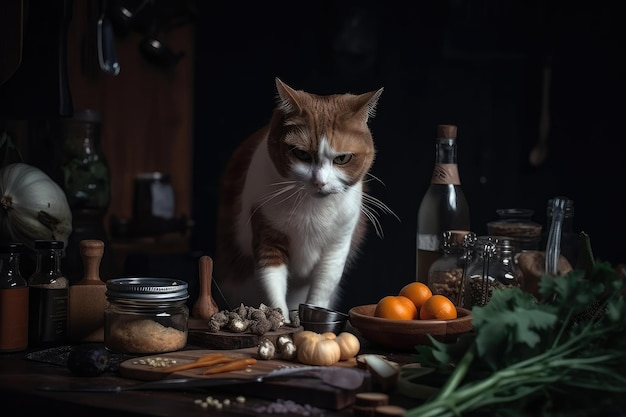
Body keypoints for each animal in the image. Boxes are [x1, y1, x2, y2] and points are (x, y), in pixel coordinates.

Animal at [214, 77, 390, 318]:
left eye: (342, 158)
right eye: (301, 154)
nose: (320, 182)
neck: (312, 209)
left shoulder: (337, 246)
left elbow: (323, 285)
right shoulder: (266, 232)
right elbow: (271, 279)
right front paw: (282, 318)